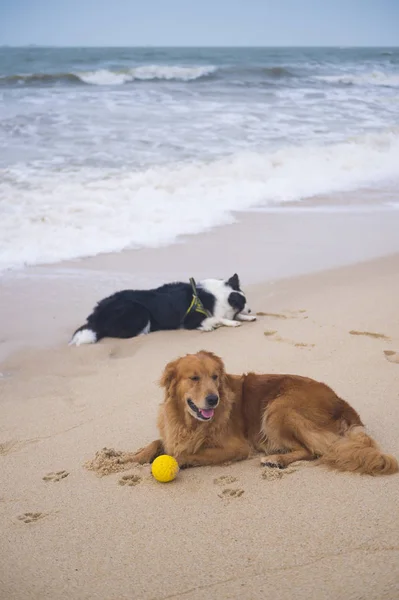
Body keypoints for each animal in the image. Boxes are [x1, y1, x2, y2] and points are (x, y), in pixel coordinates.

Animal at [69, 274, 256, 344]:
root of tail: (97, 314)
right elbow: (217, 318)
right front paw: (228, 323)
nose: (250, 310)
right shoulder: (190, 320)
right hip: (139, 311)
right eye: (243, 304)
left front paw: (247, 318)